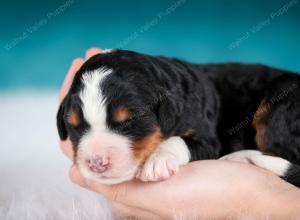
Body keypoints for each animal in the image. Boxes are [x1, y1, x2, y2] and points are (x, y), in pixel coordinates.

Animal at [56, 49, 300, 186]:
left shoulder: (208, 140)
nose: (96, 162)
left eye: (128, 120)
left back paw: (239, 158)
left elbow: (177, 141)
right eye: (74, 125)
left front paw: (158, 160)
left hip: (278, 108)